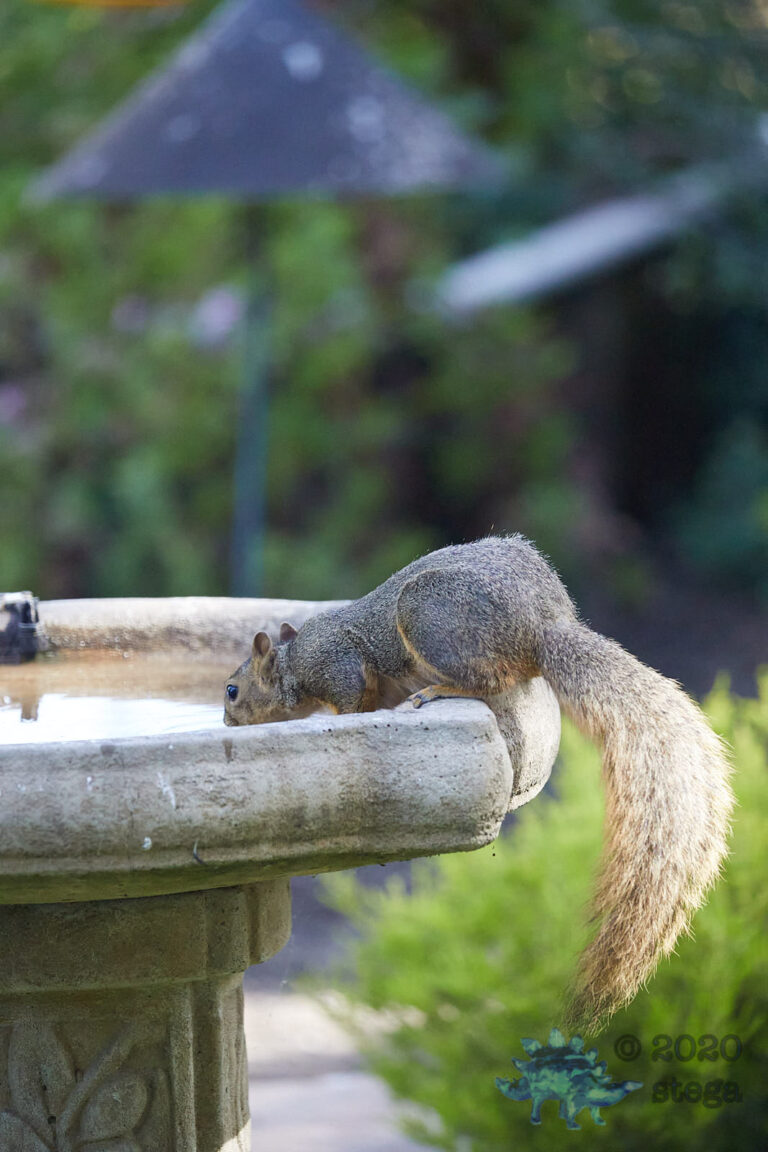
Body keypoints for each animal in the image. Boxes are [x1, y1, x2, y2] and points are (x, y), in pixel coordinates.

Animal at [223, 534, 733, 1033]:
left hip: (428, 613)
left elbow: (351, 700)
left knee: (492, 678)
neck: (294, 665)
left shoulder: (335, 664)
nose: (226, 723)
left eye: (231, 691)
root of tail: (541, 624)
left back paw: (442, 689)